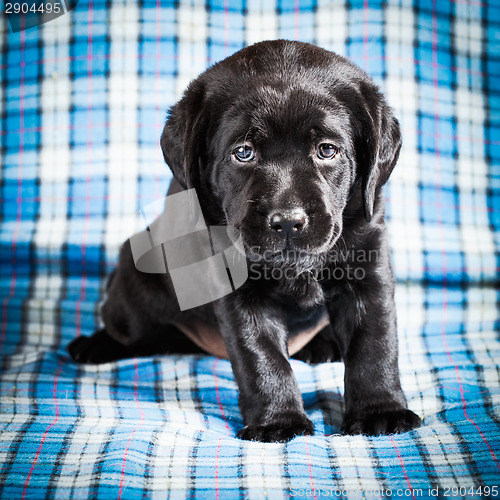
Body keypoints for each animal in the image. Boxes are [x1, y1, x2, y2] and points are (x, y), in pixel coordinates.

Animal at [69, 41, 422, 444]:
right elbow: (261, 355)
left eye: (327, 150)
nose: (288, 222)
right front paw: (278, 421)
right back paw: (92, 345)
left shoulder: (368, 266)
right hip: (134, 282)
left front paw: (380, 411)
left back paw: (323, 345)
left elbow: (374, 342)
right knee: (131, 329)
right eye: (243, 152)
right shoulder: (239, 291)